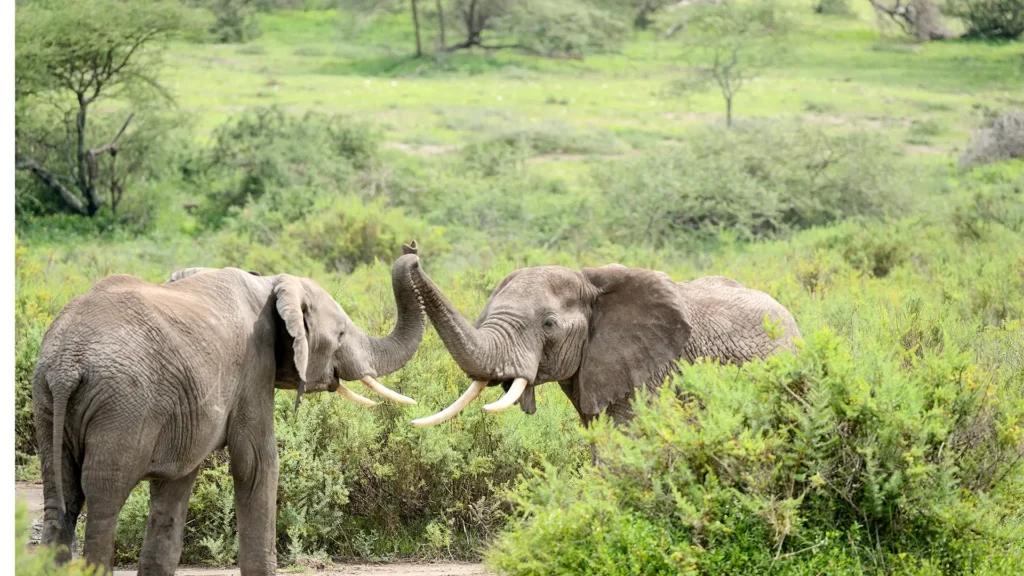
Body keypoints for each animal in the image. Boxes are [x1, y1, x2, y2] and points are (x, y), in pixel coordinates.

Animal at [32, 245, 425, 575]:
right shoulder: (254, 364)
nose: (413, 251)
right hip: (122, 405)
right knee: (103, 500)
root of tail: (67, 364)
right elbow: (257, 462)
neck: (270, 283)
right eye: (341, 334)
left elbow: (175, 486)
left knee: (60, 500)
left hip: (48, 402)